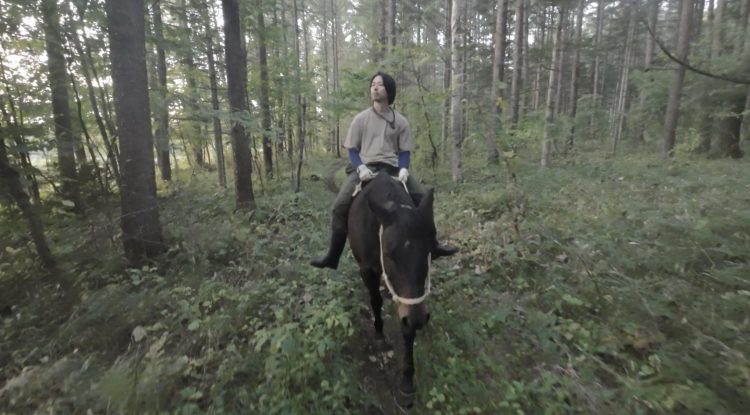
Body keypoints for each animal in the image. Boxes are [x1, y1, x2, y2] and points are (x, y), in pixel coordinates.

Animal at [347, 171, 437, 407]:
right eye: (389, 254)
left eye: (429, 250)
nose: (418, 319)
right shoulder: (367, 270)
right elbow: (375, 301)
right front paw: (379, 335)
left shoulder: (411, 301)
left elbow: (407, 326)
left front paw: (407, 382)